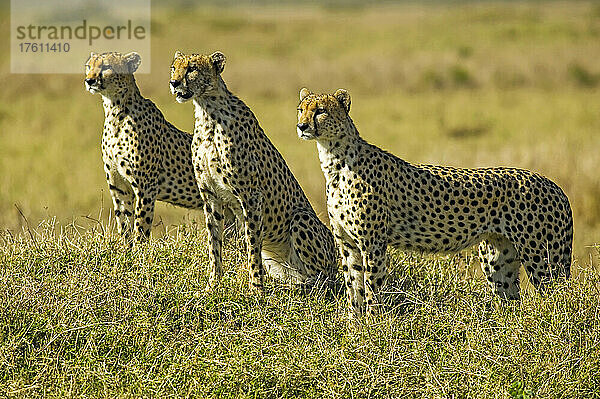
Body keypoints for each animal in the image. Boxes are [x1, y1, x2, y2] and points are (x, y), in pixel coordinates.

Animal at [84, 52, 206, 241]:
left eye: (106, 67)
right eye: (89, 66)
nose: (89, 80)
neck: (115, 110)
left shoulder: (146, 186)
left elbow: (141, 224)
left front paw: (140, 248)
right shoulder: (118, 185)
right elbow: (124, 222)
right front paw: (125, 248)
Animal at [169, 52, 338, 290]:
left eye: (192, 68)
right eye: (174, 67)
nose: (174, 82)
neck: (207, 111)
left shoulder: (251, 196)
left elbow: (252, 243)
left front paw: (256, 288)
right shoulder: (210, 195)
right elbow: (214, 242)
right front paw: (213, 283)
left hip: (301, 218)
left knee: (324, 280)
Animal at [298, 88, 576, 318]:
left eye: (321, 110)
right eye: (301, 108)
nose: (301, 126)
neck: (335, 162)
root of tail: (554, 184)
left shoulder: (372, 242)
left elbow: (371, 287)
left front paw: (374, 328)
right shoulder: (347, 243)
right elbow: (353, 287)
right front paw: (355, 328)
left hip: (543, 259)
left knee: (561, 297)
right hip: (497, 260)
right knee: (511, 301)